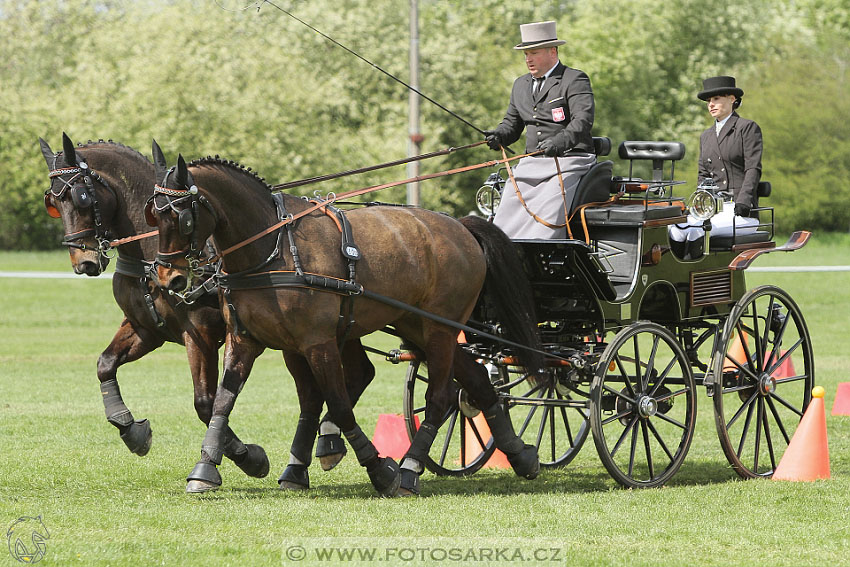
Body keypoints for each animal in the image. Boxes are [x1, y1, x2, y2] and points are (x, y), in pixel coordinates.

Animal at [148, 153, 540, 494]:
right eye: (152, 216)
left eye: (181, 218)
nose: (169, 279)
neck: (273, 248)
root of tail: (461, 226)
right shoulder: (246, 339)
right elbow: (222, 402)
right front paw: (207, 468)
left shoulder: (317, 343)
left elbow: (336, 402)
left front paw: (380, 469)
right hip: (417, 326)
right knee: (476, 381)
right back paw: (520, 455)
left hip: (441, 329)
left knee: (439, 396)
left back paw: (410, 469)